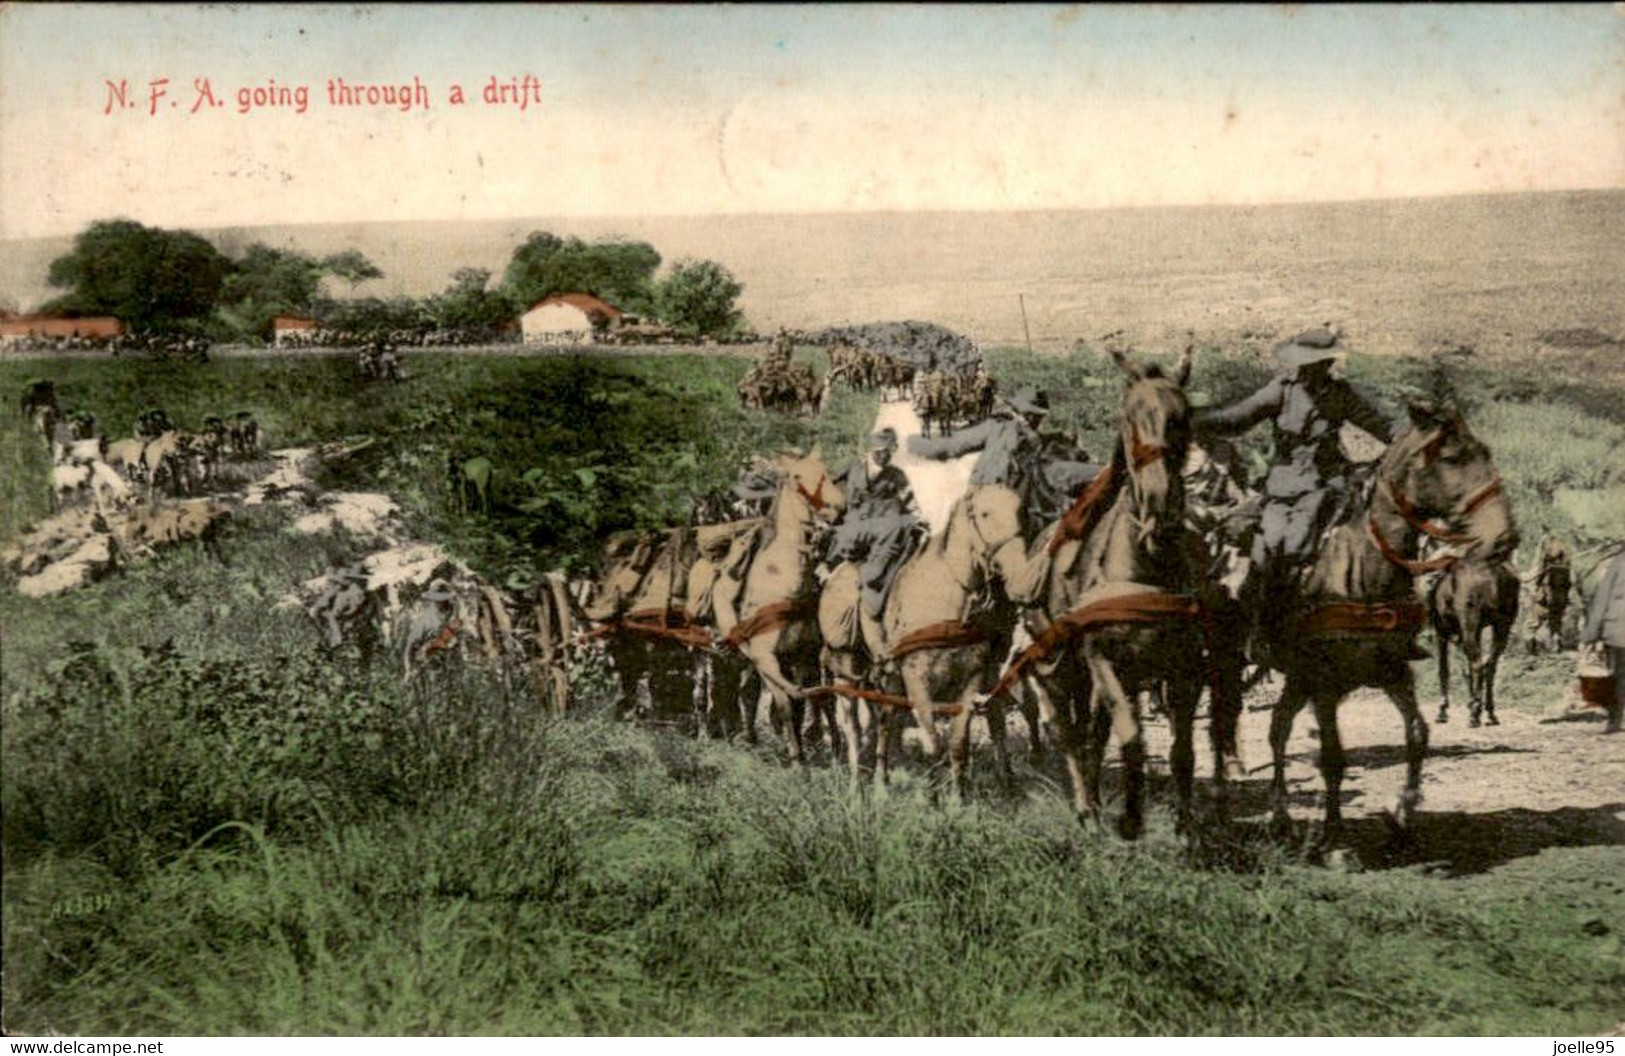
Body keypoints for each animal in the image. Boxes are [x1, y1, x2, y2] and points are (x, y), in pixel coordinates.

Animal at [1430, 558, 1514, 724]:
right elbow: (1466, 669)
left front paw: (1442, 710)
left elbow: (1444, 669)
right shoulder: (1476, 631)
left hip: (1470, 626)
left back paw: (1474, 715)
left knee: (1478, 664)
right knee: (1489, 665)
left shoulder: (1441, 632)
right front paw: (1472, 703)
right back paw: (1489, 712)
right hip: (1502, 626)